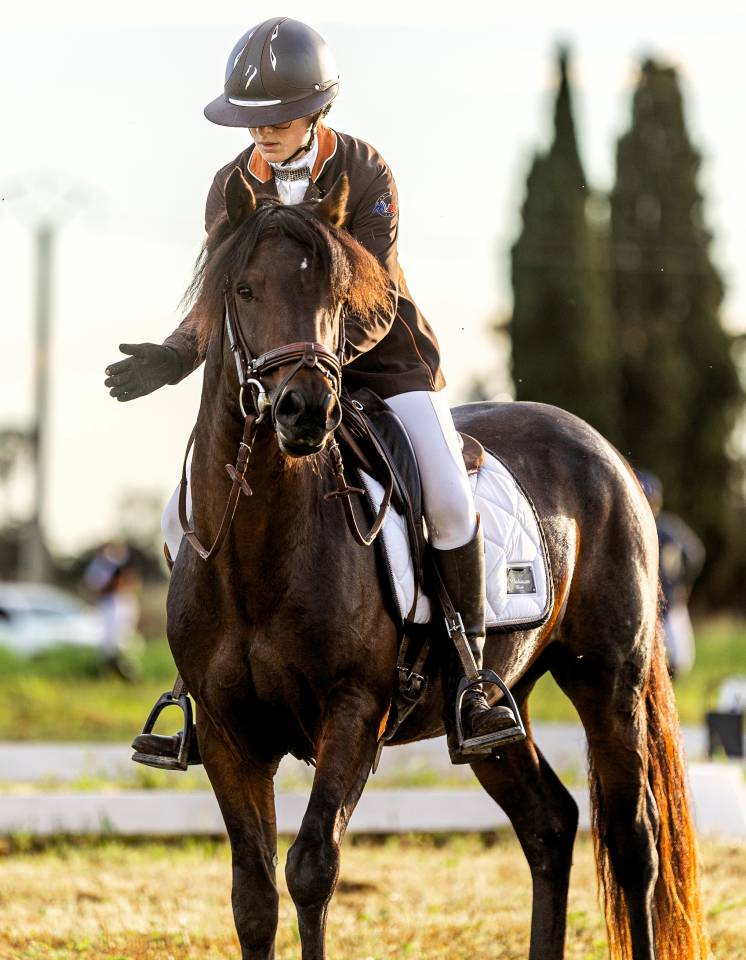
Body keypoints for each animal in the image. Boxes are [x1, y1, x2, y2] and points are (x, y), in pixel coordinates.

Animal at [166, 167, 707, 960]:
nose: (305, 411)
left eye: (336, 297)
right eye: (244, 289)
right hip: (491, 718)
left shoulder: (353, 715)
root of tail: (607, 455)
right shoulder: (228, 734)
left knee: (634, 840)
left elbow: (311, 869)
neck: (257, 553)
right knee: (550, 824)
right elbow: (254, 897)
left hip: (609, 683)